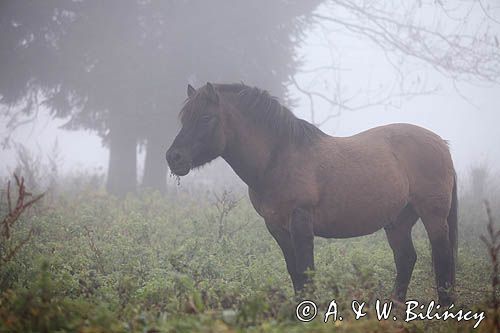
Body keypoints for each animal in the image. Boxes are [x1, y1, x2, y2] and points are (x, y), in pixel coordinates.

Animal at [167, 81, 458, 304]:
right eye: (183, 118)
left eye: (206, 118)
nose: (173, 158)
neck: (278, 158)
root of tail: (441, 144)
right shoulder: (277, 227)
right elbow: (295, 273)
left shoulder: (301, 222)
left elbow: (307, 271)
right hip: (398, 221)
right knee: (406, 258)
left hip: (433, 216)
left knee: (442, 257)